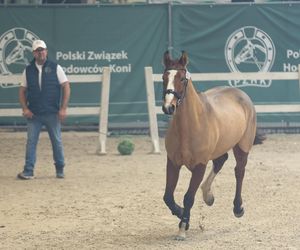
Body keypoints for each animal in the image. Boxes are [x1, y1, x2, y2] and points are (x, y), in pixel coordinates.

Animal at [162, 50, 264, 240]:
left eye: (182, 78)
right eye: (164, 77)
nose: (168, 107)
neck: (189, 127)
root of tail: (241, 94)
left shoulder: (200, 166)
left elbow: (188, 197)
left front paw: (182, 228)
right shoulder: (172, 163)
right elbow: (168, 197)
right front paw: (182, 214)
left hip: (242, 146)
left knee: (239, 171)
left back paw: (238, 207)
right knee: (220, 160)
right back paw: (207, 195)